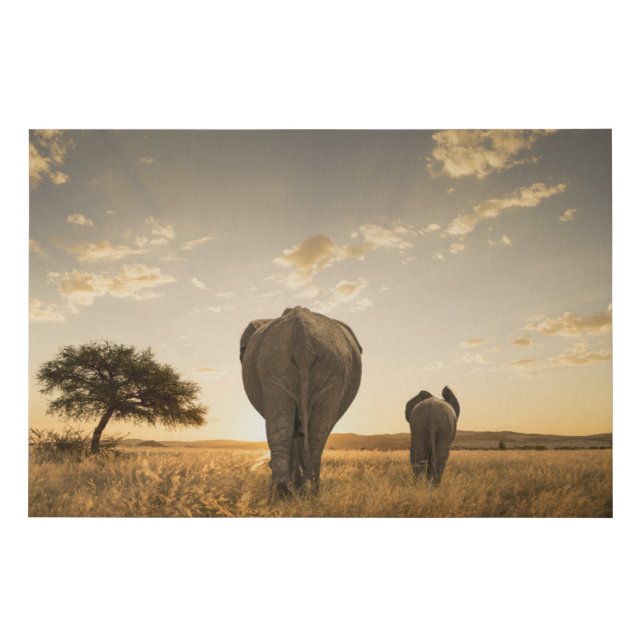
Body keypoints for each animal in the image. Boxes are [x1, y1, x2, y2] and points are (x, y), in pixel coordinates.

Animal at [240, 306, 362, 497]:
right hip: (296, 364)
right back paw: (303, 491)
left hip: (307, 364)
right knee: (311, 432)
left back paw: (291, 491)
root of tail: (303, 338)